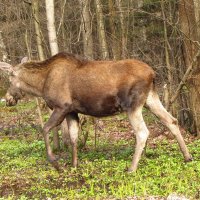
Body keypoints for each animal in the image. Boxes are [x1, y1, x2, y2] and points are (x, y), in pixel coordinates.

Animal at [0, 52, 192, 171]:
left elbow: (45, 129)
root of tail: (153, 74)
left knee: (143, 132)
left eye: (10, 78)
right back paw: (187, 156)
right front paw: (74, 165)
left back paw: (131, 168)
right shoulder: (72, 111)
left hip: (133, 104)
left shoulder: (61, 106)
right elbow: (73, 137)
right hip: (150, 99)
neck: (40, 84)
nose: (8, 98)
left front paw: (55, 163)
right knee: (171, 121)